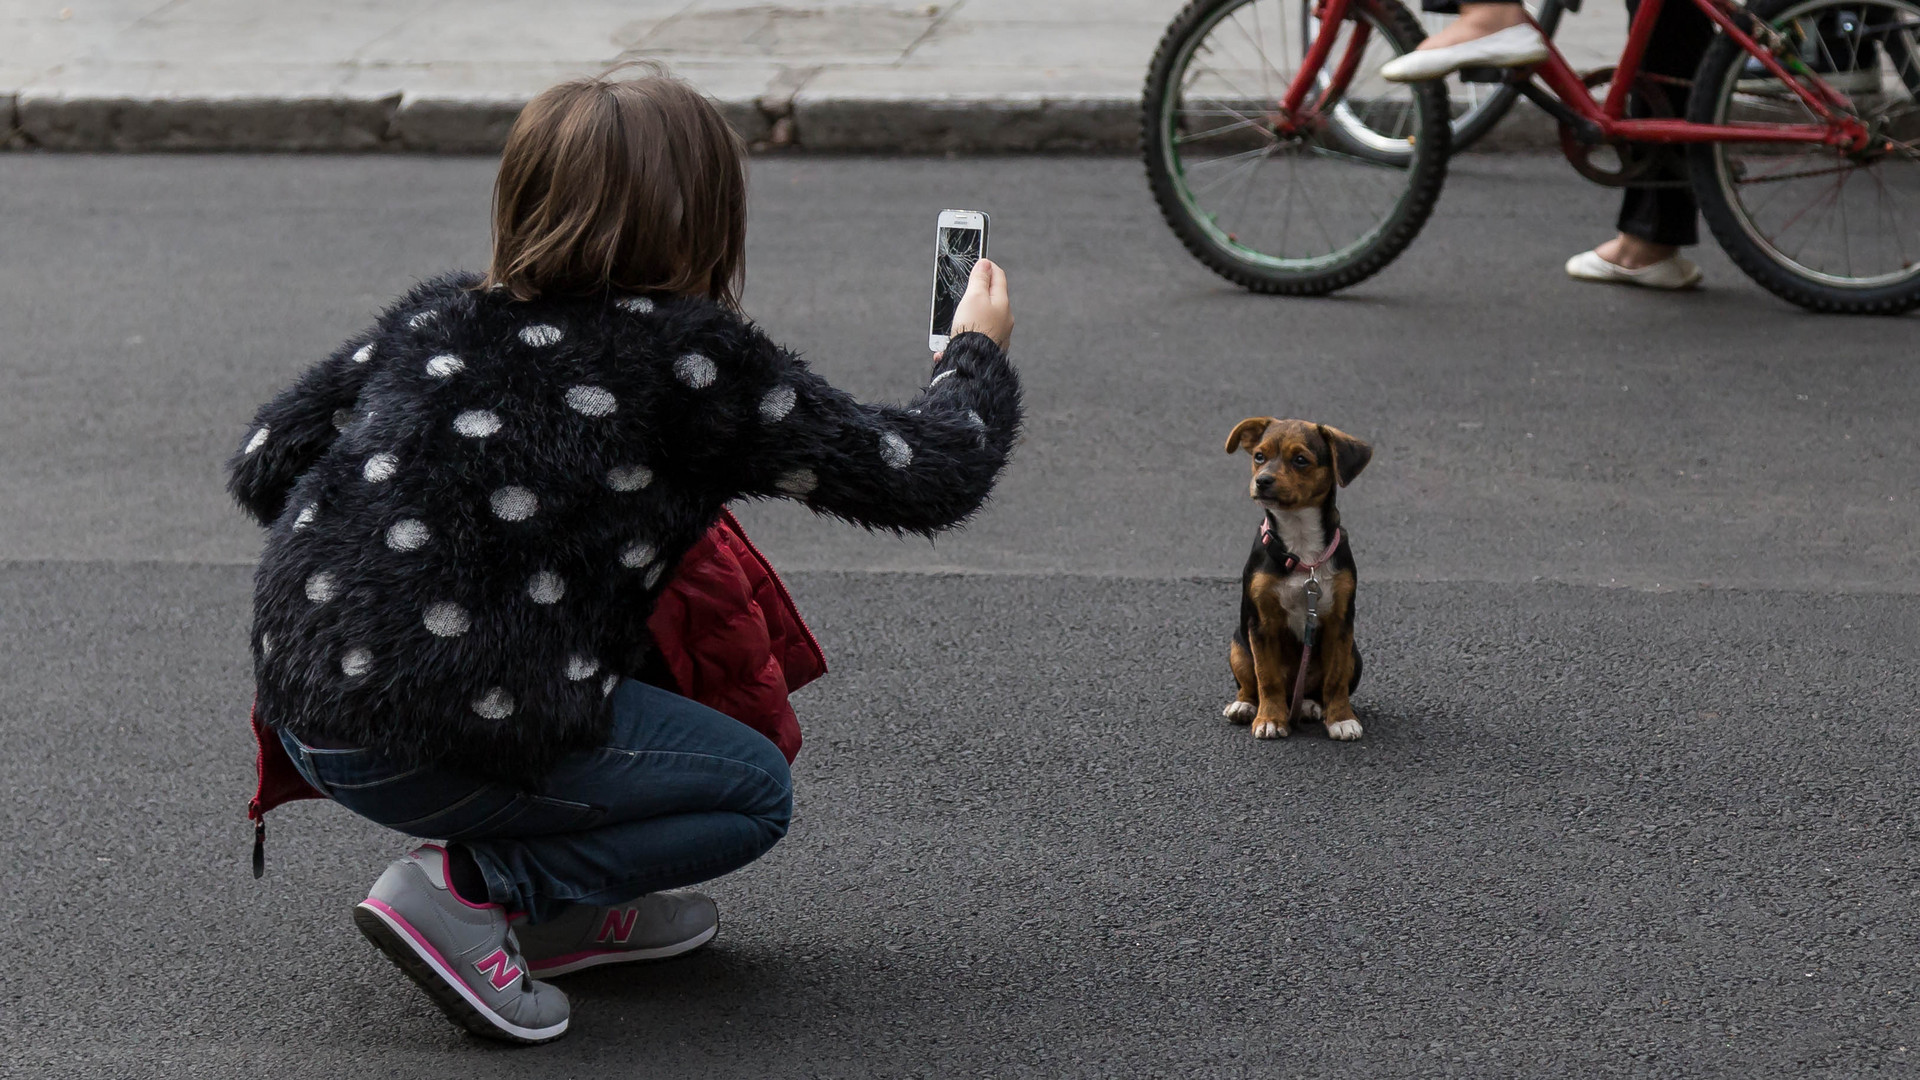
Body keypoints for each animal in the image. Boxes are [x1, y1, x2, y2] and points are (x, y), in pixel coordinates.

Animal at [1221, 417, 1374, 734]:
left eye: (1301, 460)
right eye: (1259, 456)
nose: (1262, 481)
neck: (1301, 547)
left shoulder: (1340, 623)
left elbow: (1336, 678)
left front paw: (1341, 718)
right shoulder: (1261, 623)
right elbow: (1267, 677)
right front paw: (1269, 719)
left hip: (1356, 656)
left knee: (1315, 689)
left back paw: (1309, 706)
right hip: (1238, 645)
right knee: (1251, 684)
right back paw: (1244, 706)